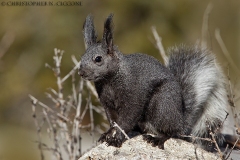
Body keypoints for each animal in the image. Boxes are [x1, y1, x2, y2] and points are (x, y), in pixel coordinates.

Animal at [79, 13, 232, 150]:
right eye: (82, 57)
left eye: (98, 59)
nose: (81, 72)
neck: (109, 80)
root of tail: (182, 122)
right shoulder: (107, 104)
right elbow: (114, 122)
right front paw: (107, 134)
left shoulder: (133, 98)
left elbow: (126, 121)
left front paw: (117, 139)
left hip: (161, 105)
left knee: (171, 132)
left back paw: (158, 138)